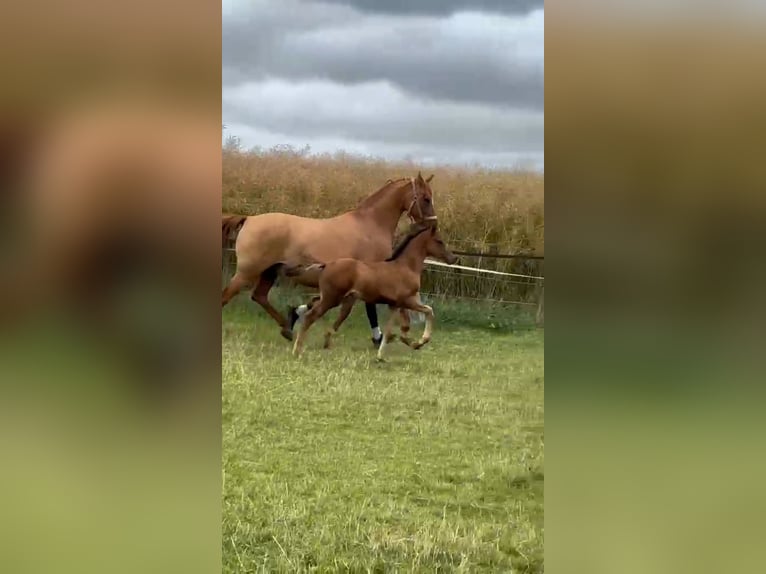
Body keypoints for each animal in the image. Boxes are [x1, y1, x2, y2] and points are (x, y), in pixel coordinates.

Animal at [221, 173, 439, 345]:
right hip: (248, 272)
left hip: (269, 272)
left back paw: (287, 329)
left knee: (259, 296)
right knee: (227, 296)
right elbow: (370, 308)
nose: (433, 226)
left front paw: (297, 313)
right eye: (426, 198)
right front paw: (378, 339)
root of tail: (249, 219)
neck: (371, 225)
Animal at [288, 224, 458, 361]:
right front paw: (421, 341)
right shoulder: (407, 301)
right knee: (310, 317)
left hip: (336, 299)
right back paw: (297, 351)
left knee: (312, 305)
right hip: (332, 299)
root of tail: (326, 265)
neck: (406, 267)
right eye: (439, 241)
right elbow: (429, 311)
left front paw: (407, 345)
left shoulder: (396, 304)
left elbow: (400, 327)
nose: (453, 258)